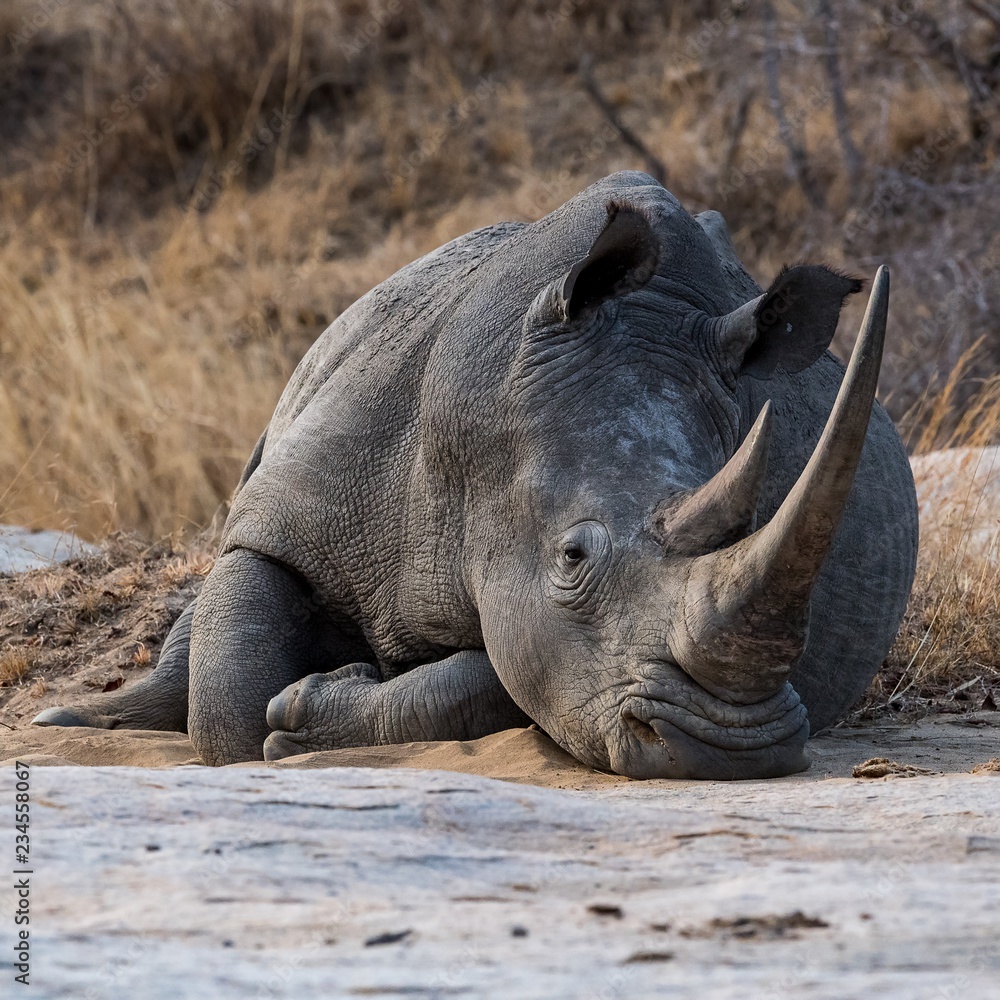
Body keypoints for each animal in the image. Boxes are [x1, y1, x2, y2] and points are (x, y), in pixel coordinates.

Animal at [34, 172, 918, 779]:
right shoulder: (299, 503)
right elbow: (230, 698)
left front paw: (307, 714)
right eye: (572, 557)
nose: (729, 749)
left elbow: (484, 684)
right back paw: (66, 721)